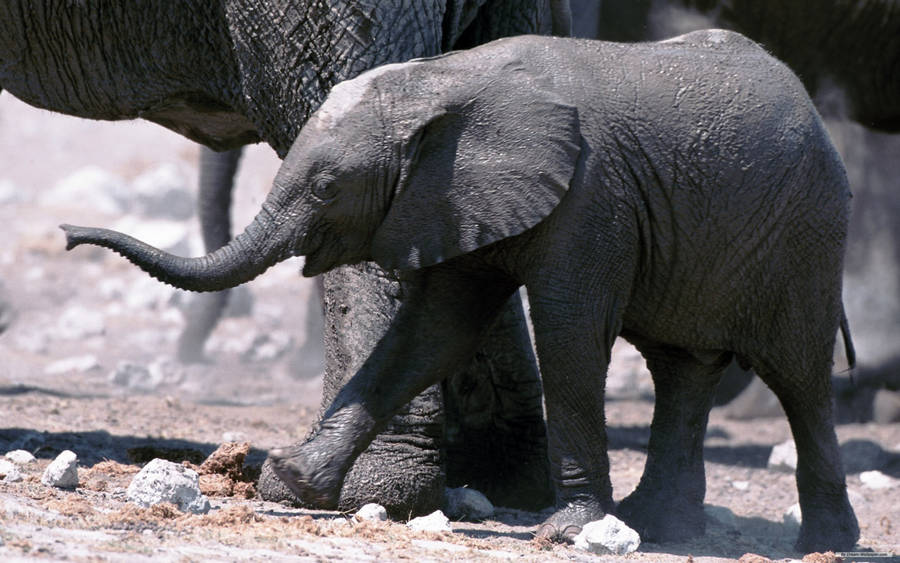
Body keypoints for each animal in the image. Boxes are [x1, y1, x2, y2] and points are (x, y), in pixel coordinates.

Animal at [60, 30, 861, 552]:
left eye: (326, 187)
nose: (67, 235)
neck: (440, 83)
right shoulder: (451, 200)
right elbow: (432, 332)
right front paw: (289, 480)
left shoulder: (590, 196)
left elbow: (569, 334)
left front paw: (568, 531)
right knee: (681, 369)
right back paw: (657, 526)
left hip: (807, 237)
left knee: (799, 377)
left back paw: (825, 539)